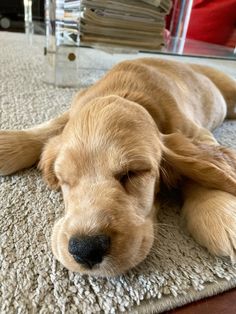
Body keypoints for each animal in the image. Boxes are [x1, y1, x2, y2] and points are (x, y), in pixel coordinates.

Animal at [0, 57, 236, 276]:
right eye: (64, 179)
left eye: (133, 173)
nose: (86, 249)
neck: (126, 93)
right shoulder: (74, 109)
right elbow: (52, 126)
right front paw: (9, 143)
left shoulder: (196, 132)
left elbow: (201, 166)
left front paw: (218, 212)